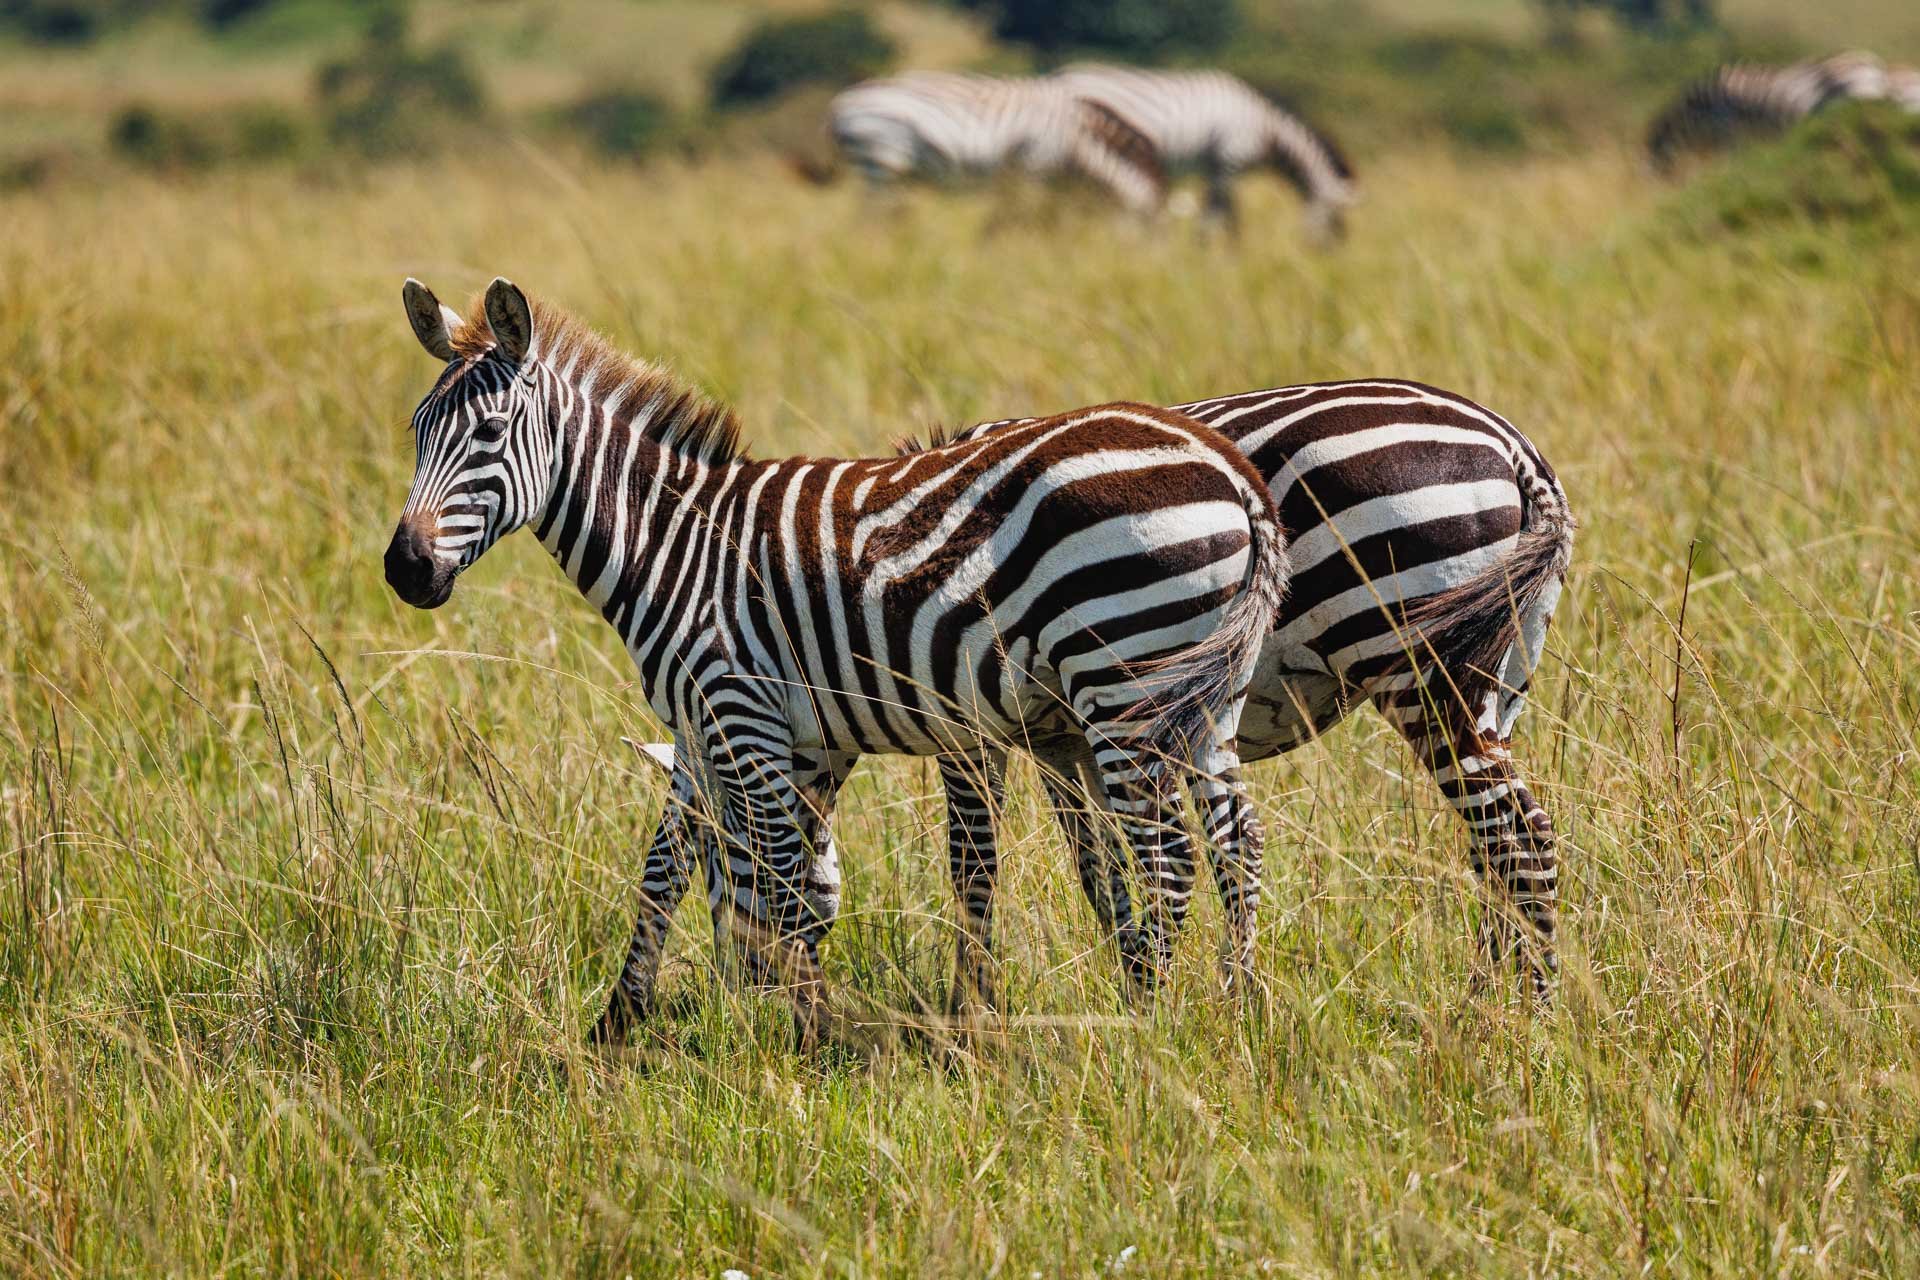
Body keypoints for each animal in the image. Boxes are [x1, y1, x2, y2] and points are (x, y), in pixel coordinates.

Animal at [384, 277, 1289, 1049]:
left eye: (490, 434)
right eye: (416, 431)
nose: (405, 570)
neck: (671, 545)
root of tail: (1230, 470)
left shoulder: (741, 709)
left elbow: (782, 876)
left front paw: (810, 1036)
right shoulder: (708, 725)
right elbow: (671, 869)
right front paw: (619, 1022)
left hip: (1123, 683)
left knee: (1169, 859)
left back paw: (1150, 1024)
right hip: (1207, 699)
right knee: (1236, 844)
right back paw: (1239, 1010)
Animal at [625, 379, 1574, 1016]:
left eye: (729, 863)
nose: (740, 990)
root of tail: (1515, 450)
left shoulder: (974, 727)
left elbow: (971, 862)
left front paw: (976, 1009)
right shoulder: (1064, 732)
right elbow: (1101, 865)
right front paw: (1131, 977)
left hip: (1419, 666)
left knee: (1509, 834)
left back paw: (1517, 1012)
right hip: (1500, 678)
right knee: (1497, 844)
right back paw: (1492, 1002)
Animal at [828, 70, 1167, 214]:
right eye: (1153, 230)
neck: (1077, 136)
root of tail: (842, 103)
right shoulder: (1034, 166)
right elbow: (1023, 213)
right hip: (881, 159)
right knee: (870, 215)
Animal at [1048, 65, 1356, 240]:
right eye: (1336, 220)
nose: (1332, 256)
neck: (1267, 129)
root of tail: (1061, 76)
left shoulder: (1214, 169)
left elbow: (1213, 215)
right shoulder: (1228, 163)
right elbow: (1227, 218)